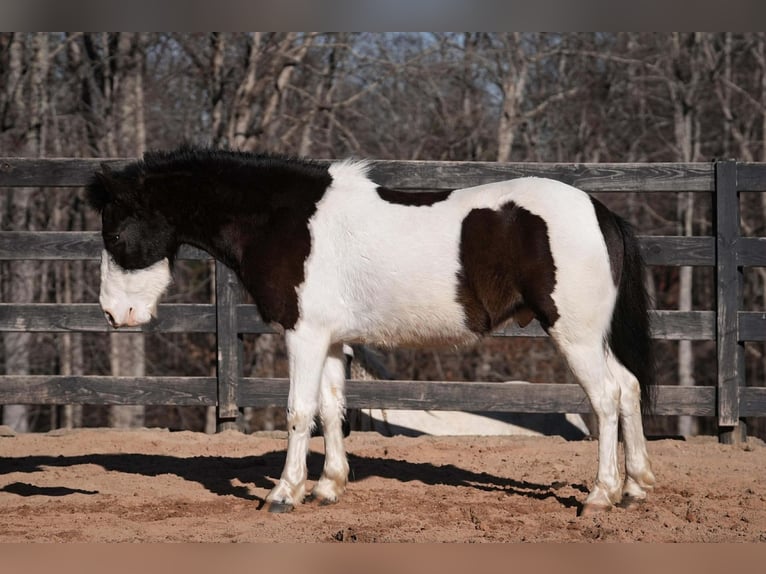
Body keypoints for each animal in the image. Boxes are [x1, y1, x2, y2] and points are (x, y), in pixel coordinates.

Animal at [87, 145, 656, 515]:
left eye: (113, 235)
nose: (114, 314)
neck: (283, 220)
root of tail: (599, 211)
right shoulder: (332, 338)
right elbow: (333, 410)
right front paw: (327, 488)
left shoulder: (303, 334)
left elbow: (299, 412)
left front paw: (283, 495)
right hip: (592, 337)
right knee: (628, 388)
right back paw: (636, 487)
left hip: (575, 334)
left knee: (605, 397)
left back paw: (601, 495)